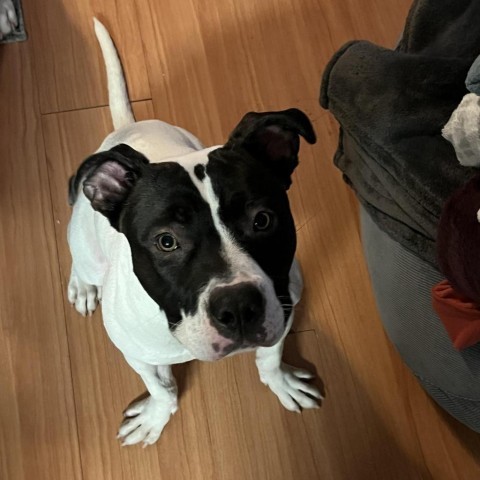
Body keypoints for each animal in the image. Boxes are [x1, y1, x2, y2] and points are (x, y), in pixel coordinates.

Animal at [67, 18, 322, 446]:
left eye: (262, 220)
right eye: (166, 241)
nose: (238, 308)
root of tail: (128, 130)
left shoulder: (284, 307)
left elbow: (269, 356)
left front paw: (280, 381)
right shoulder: (134, 353)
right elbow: (160, 388)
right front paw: (156, 416)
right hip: (82, 241)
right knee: (79, 262)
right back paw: (83, 287)